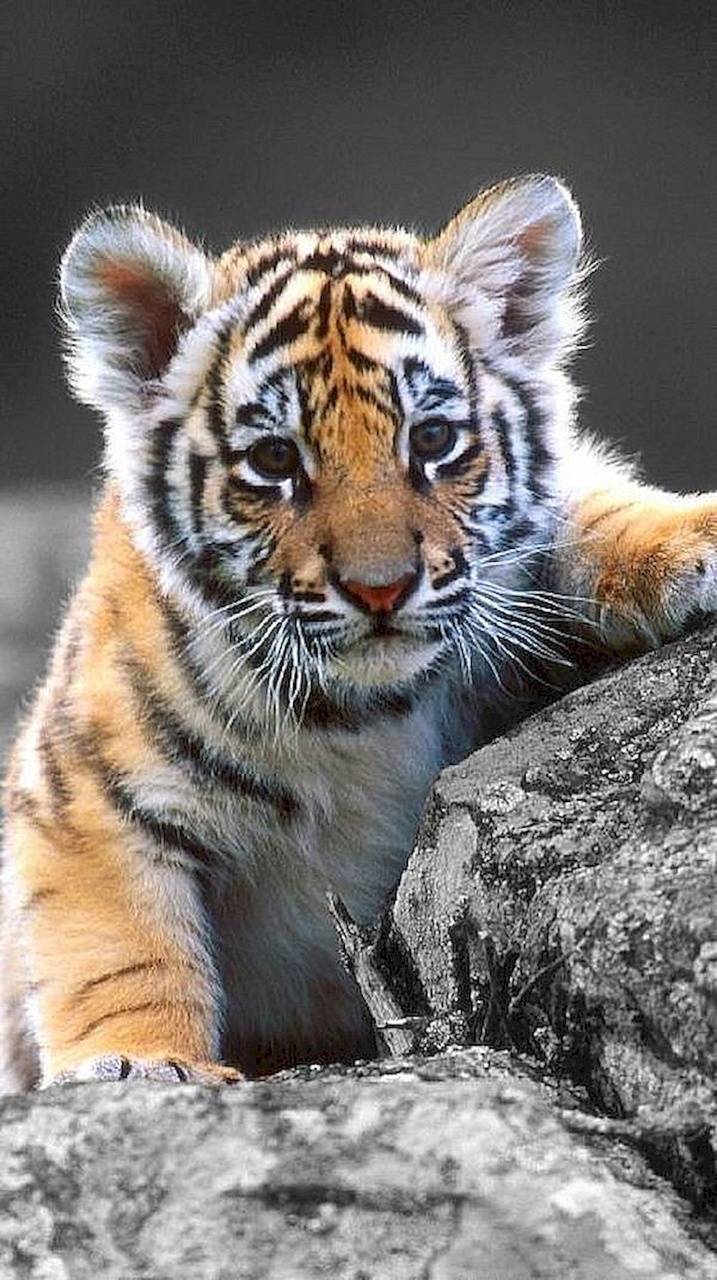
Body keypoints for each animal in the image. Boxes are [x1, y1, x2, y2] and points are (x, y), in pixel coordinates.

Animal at [1, 173, 716, 1091]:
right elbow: (120, 950)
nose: (380, 588)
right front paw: (144, 1064)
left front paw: (691, 539)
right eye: (274, 460)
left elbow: (583, 513)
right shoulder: (82, 794)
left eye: (433, 439)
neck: (358, 715)